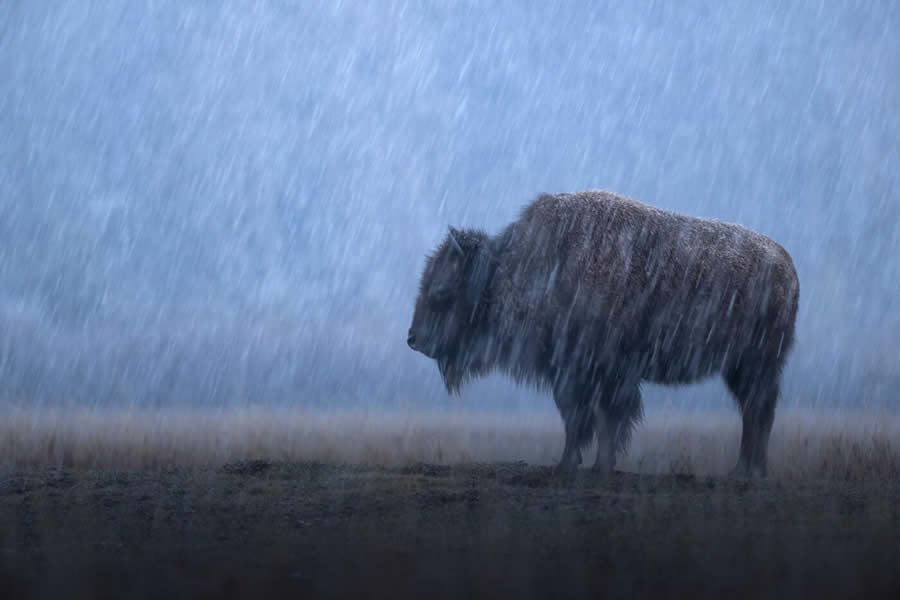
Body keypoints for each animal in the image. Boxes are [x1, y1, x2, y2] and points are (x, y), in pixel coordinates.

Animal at [404, 190, 800, 476]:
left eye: (442, 290)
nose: (413, 339)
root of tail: (787, 266)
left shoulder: (599, 373)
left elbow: (594, 420)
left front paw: (581, 466)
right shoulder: (576, 373)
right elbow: (585, 419)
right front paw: (587, 464)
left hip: (755, 365)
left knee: (757, 411)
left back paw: (747, 471)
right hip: (741, 369)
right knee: (755, 412)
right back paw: (746, 470)